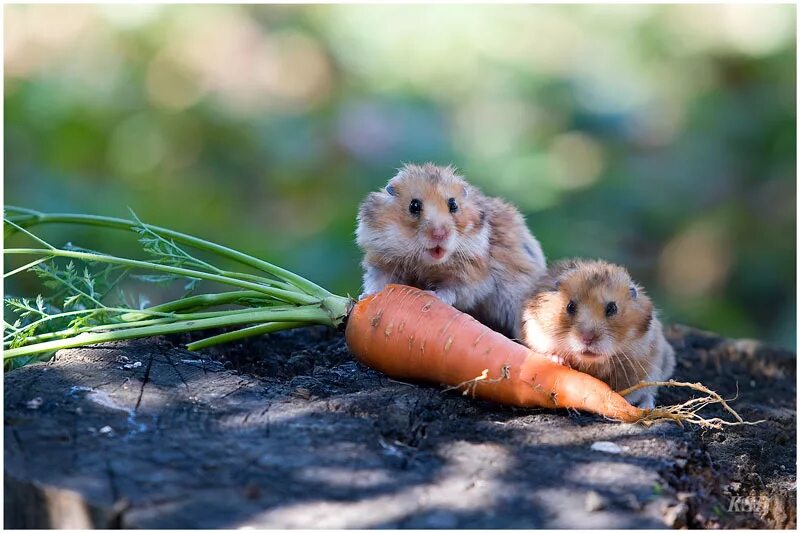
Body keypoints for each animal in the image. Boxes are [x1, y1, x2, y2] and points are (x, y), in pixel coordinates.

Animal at [358, 160, 552, 338]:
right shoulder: (381, 260)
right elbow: (377, 281)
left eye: (453, 205)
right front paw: (365, 297)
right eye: (414, 206)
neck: (427, 264)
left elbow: (452, 290)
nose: (440, 234)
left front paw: (432, 294)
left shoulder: (473, 278)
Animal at [520, 258, 676, 408]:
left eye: (612, 308)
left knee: (649, 392)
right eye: (570, 306)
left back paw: (646, 407)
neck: (589, 364)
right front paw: (559, 360)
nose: (587, 339)